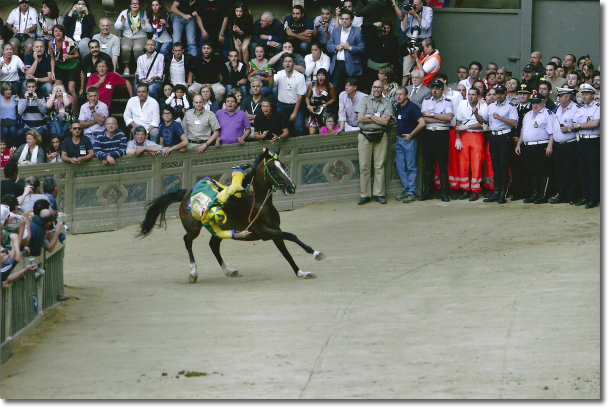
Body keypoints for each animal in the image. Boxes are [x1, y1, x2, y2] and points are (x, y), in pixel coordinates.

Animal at [136, 149, 326, 284]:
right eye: (272, 168)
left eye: (284, 166)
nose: (291, 187)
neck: (257, 201)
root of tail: (186, 193)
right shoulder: (266, 232)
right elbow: (291, 236)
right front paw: (316, 253)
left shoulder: (275, 230)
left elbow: (286, 253)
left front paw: (301, 272)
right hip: (194, 228)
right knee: (187, 241)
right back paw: (193, 273)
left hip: (219, 228)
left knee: (213, 245)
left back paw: (228, 270)